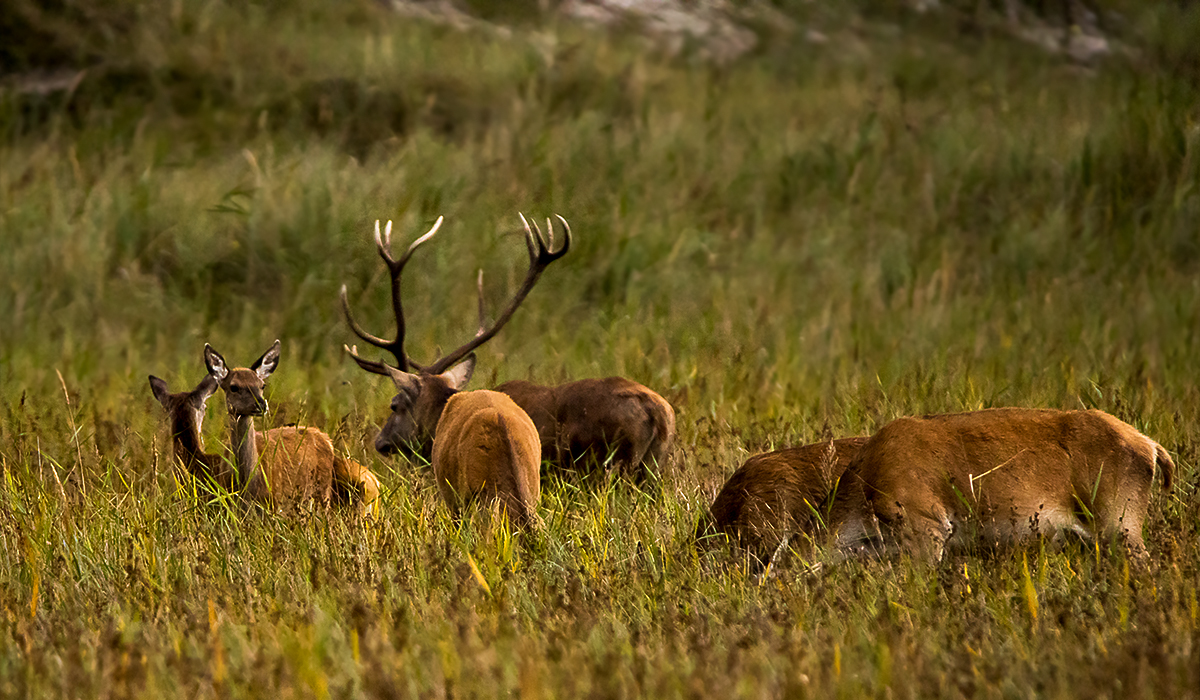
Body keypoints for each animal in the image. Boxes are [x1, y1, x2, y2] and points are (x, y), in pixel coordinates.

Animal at [157, 343, 376, 518]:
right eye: (234, 387)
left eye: (262, 385)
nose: (261, 404)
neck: (248, 483)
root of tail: (325, 438)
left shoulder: (273, 506)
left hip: (321, 495)